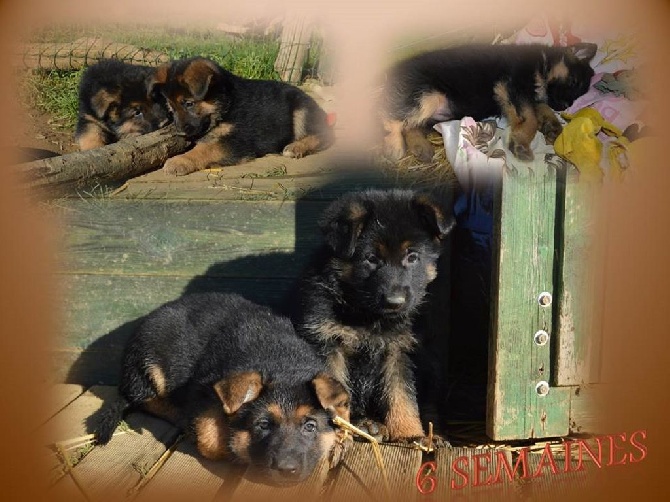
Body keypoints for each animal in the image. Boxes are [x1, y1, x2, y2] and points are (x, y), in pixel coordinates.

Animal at [94, 292, 352, 484]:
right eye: (263, 425)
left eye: (310, 426)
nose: (286, 470)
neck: (283, 363)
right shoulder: (204, 400)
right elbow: (211, 438)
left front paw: (342, 435)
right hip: (151, 362)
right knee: (146, 399)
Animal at [150, 57, 334, 176]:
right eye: (171, 107)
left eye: (189, 104)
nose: (180, 133)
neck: (227, 104)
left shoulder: (237, 141)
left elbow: (205, 149)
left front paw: (180, 161)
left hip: (301, 110)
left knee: (324, 135)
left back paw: (296, 147)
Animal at [294, 190, 456, 446]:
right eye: (371, 258)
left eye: (412, 257)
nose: (394, 302)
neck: (368, 315)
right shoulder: (329, 345)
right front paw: (339, 433)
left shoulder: (399, 351)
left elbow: (402, 395)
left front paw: (409, 433)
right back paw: (367, 425)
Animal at [384, 43, 600, 162]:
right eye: (574, 82)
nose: (564, 107)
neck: (543, 63)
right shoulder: (513, 87)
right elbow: (529, 119)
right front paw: (521, 144)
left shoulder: (529, 97)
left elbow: (542, 107)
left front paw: (553, 127)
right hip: (429, 96)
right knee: (392, 118)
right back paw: (394, 146)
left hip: (435, 112)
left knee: (411, 126)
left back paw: (421, 148)